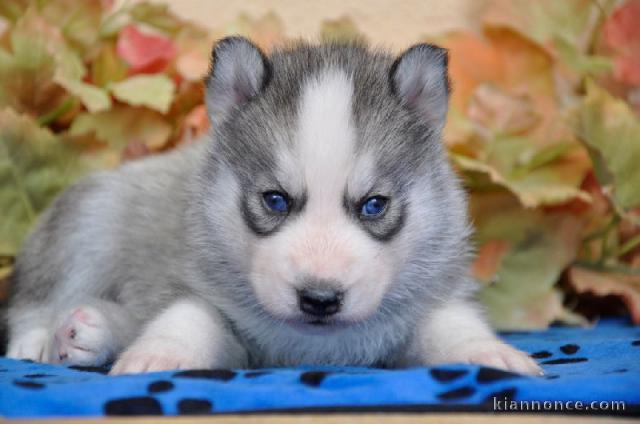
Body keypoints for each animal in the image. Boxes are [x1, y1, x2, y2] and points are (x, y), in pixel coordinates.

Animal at [7, 37, 544, 374]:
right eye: (275, 200)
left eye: (374, 205)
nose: (320, 299)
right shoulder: (205, 299)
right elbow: (186, 320)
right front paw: (157, 354)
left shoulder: (427, 303)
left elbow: (452, 325)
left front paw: (489, 353)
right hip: (90, 223)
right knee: (38, 299)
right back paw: (45, 337)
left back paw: (88, 330)